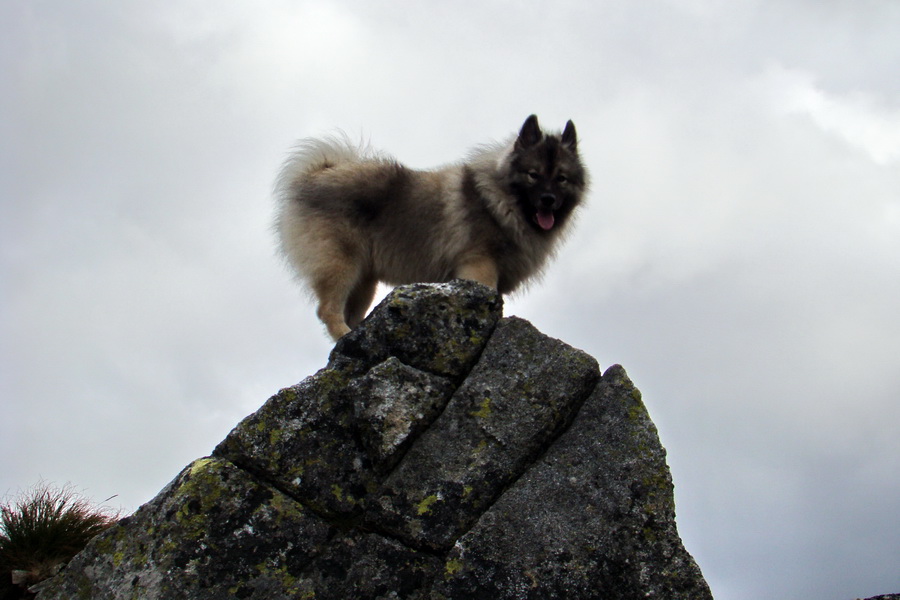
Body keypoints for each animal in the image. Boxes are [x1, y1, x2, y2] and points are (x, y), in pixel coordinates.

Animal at [274, 115, 588, 340]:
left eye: (561, 178)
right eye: (533, 175)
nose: (548, 200)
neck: (499, 200)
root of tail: (316, 174)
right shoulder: (479, 266)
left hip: (364, 280)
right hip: (342, 265)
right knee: (327, 310)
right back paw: (344, 336)